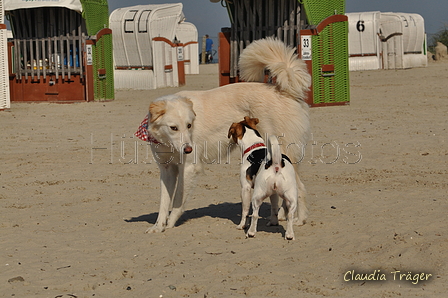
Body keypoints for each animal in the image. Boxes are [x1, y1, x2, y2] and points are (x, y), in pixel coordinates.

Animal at [136, 37, 312, 233]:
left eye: (189, 126)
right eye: (173, 128)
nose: (188, 149)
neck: (168, 143)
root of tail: (284, 91)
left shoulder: (188, 168)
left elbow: (177, 201)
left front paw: (171, 223)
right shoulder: (167, 170)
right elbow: (164, 202)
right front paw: (158, 226)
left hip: (283, 154)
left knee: (300, 188)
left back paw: (299, 219)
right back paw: (281, 215)